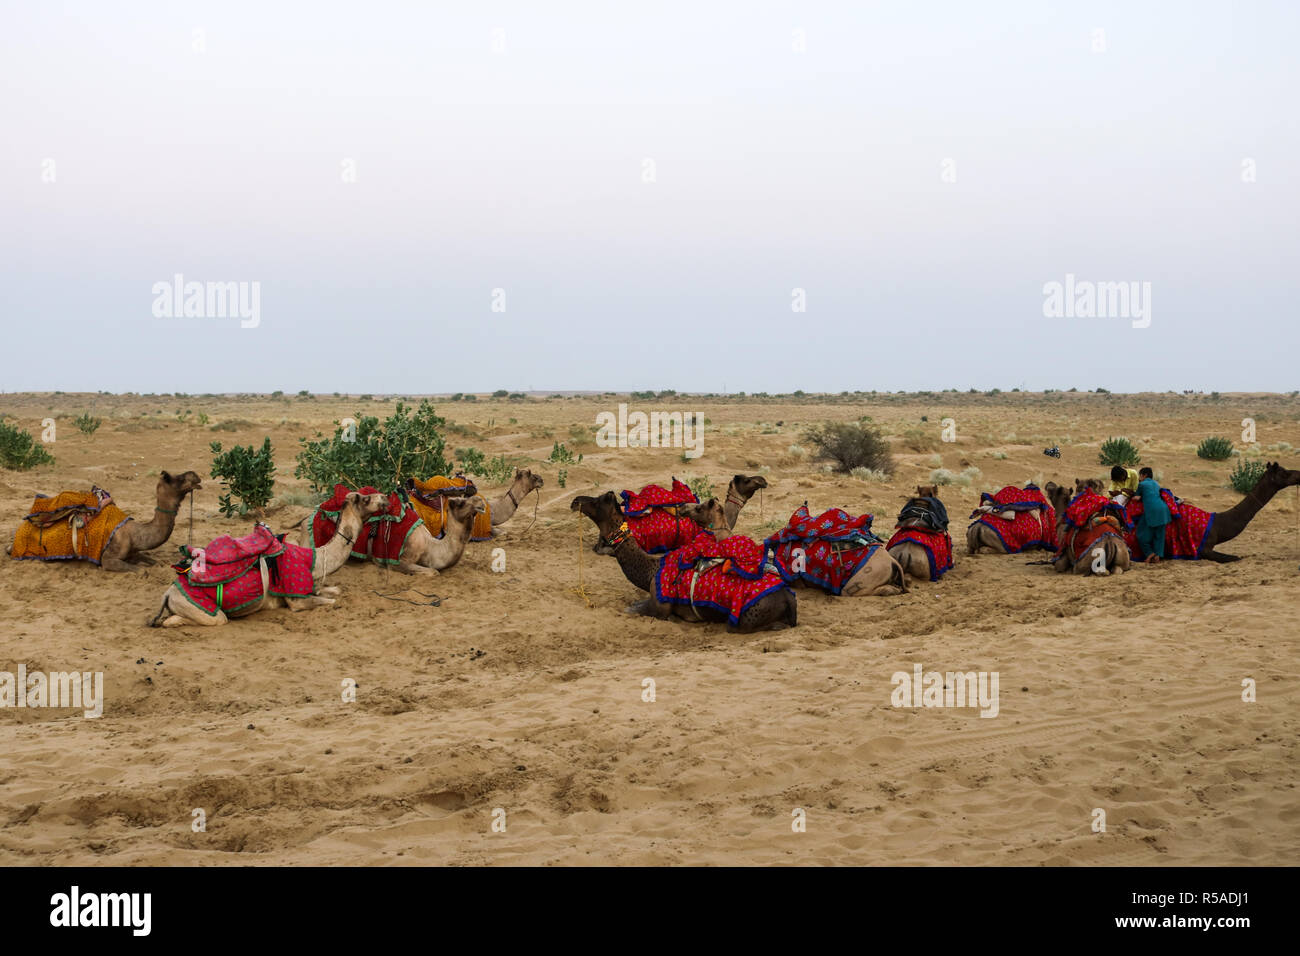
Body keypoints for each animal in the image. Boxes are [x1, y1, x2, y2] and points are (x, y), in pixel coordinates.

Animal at [150, 494, 387, 629]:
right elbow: (331, 601)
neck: (315, 560)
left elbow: (335, 591)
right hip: (201, 608)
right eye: (365, 498)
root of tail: (167, 595)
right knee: (204, 619)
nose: (384, 497)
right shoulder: (295, 598)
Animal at [572, 489, 795, 632]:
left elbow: (635, 609)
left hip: (744, 620)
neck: (651, 570)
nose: (575, 501)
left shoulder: (660, 607)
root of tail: (789, 598)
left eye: (598, 500)